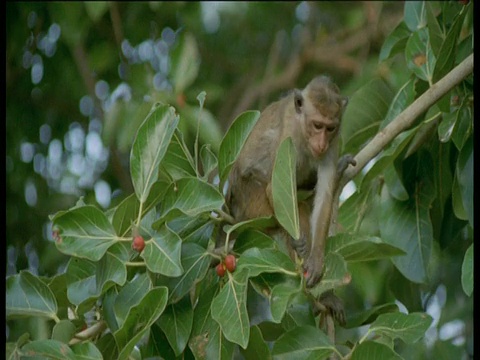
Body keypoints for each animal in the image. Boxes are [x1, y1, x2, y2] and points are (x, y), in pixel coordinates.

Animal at [225, 74, 352, 292]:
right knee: (292, 206)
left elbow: (324, 195)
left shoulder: (334, 142)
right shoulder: (289, 136)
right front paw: (301, 247)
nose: (321, 144)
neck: (303, 130)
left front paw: (316, 259)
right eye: (317, 125)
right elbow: (274, 188)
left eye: (330, 128)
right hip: (250, 204)